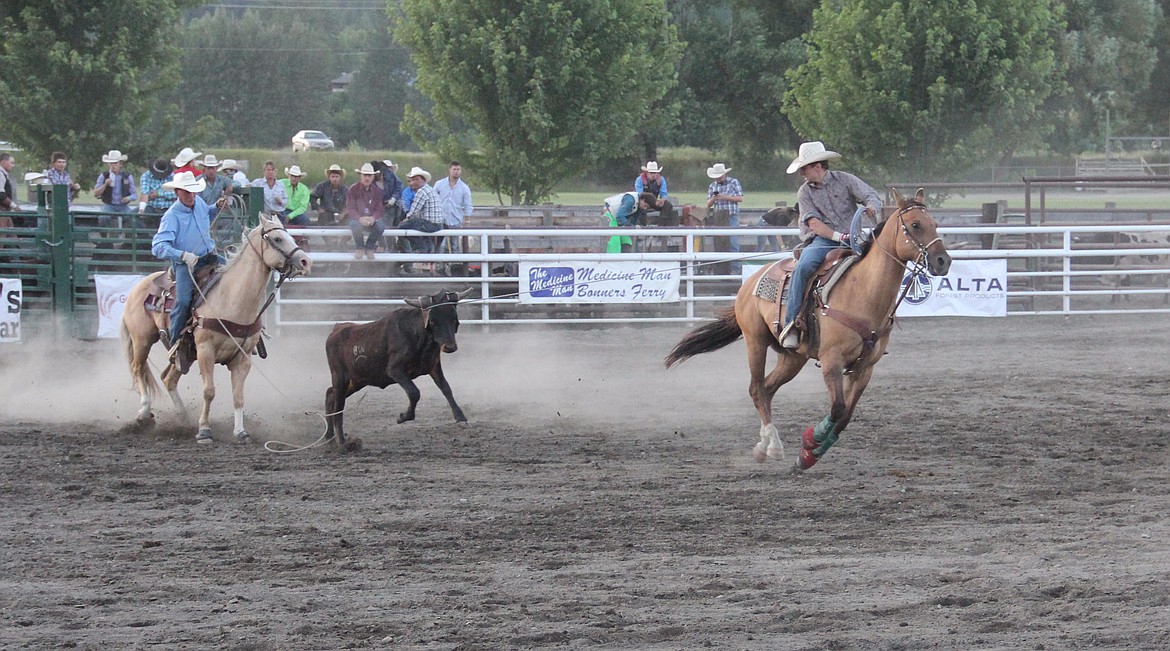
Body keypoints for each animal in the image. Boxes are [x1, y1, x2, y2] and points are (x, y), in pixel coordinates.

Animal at [120, 211, 311, 442]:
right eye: (277, 239)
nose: (306, 261)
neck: (232, 299)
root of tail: (140, 285)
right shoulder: (205, 351)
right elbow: (209, 391)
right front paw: (204, 430)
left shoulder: (242, 358)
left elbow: (238, 396)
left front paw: (240, 431)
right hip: (142, 339)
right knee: (138, 368)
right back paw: (144, 412)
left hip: (184, 354)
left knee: (168, 378)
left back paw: (183, 418)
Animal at [325, 286, 470, 449]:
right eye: (433, 321)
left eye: (454, 319)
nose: (450, 347)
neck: (417, 335)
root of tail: (336, 329)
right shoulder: (395, 370)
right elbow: (414, 393)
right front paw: (403, 417)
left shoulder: (433, 366)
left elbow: (446, 388)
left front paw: (461, 418)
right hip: (340, 377)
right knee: (338, 406)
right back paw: (342, 441)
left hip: (357, 380)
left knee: (330, 395)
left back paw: (329, 436)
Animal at [669, 190, 950, 470]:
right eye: (915, 225)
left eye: (934, 223)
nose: (943, 261)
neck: (863, 291)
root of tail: (751, 280)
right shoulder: (831, 360)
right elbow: (837, 408)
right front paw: (810, 442)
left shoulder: (865, 368)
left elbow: (845, 416)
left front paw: (809, 455)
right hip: (755, 341)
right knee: (757, 389)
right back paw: (773, 445)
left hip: (793, 357)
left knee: (768, 388)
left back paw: (763, 446)